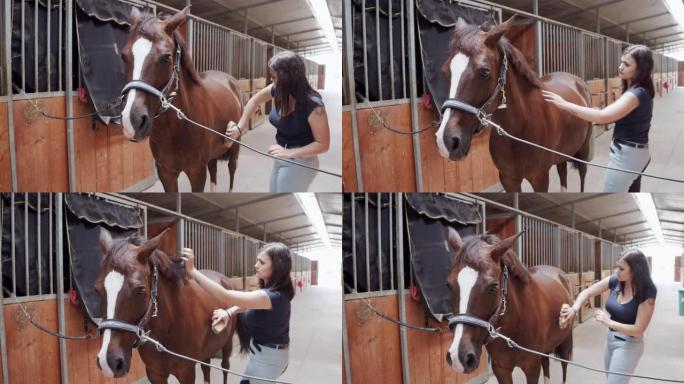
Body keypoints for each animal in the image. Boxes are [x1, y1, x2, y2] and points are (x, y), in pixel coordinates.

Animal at [93, 226, 238, 382]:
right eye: (97, 290)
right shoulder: (155, 373)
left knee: (225, 367)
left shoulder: (186, 372)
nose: (109, 362)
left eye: (140, 290)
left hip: (227, 344)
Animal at [120, 6, 243, 192]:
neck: (177, 129)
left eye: (166, 57)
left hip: (234, 146)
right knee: (214, 170)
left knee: (232, 170)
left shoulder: (197, 172)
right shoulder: (166, 173)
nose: (132, 121)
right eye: (123, 56)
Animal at [438, 16, 592, 192]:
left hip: (583, 151)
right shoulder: (509, 179)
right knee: (563, 173)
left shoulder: (540, 178)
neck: (521, 128)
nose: (447, 141)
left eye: (484, 72)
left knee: (582, 175)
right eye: (444, 71)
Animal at [446, 228, 576, 384]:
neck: (516, 324)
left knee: (564, 366)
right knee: (546, 364)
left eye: (493, 286)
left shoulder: (532, 367)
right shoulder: (501, 368)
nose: (459, 357)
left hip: (565, 340)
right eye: (448, 285)